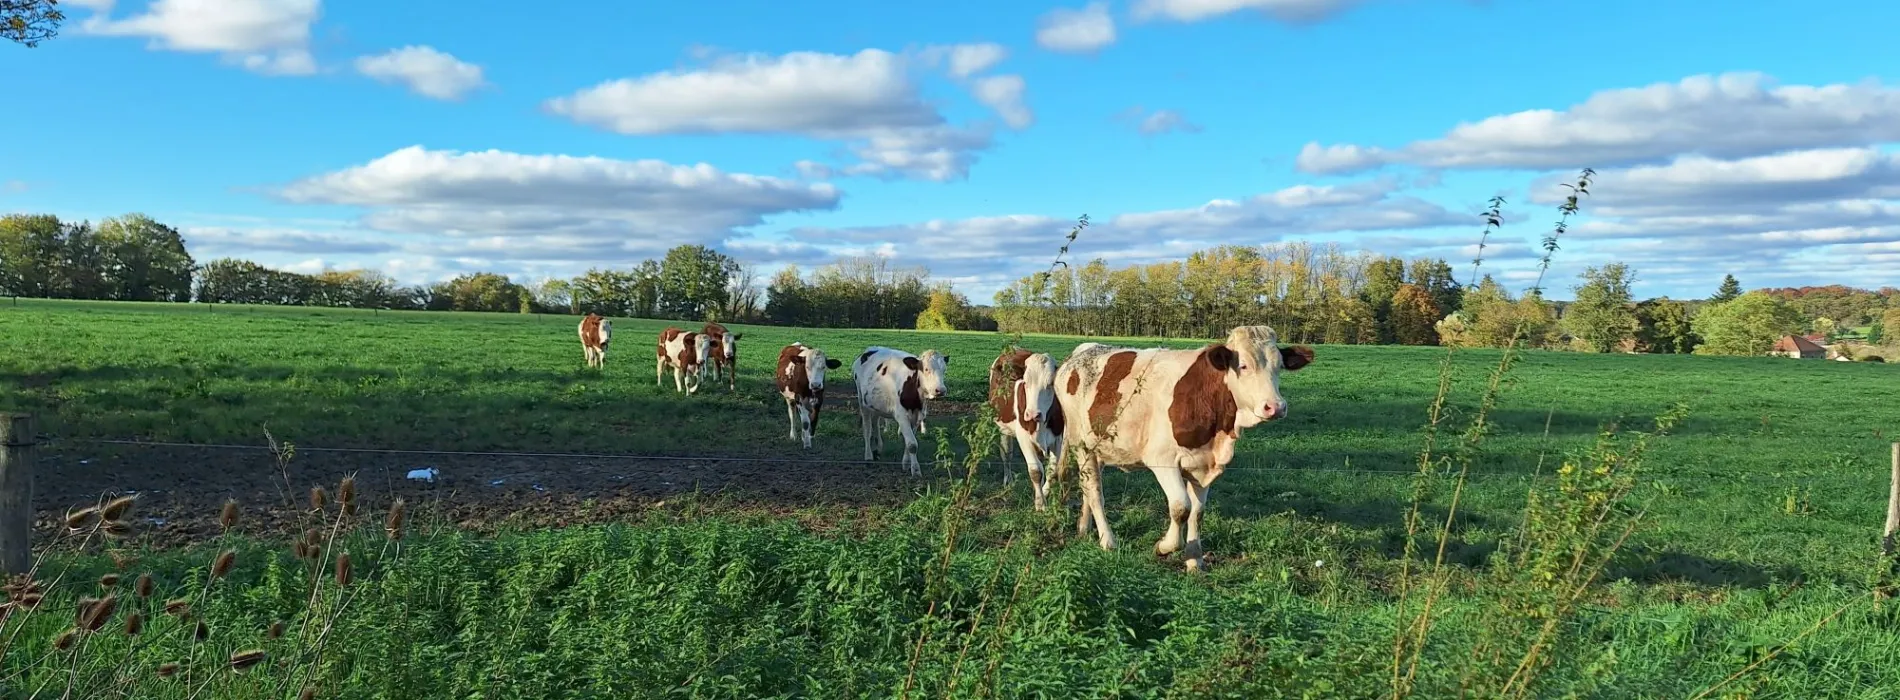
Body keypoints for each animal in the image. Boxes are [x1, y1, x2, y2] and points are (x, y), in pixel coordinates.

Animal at [852, 346, 950, 476]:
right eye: (926, 369)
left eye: (944, 370)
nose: (941, 390)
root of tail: (870, 349)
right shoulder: (901, 416)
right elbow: (912, 444)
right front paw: (916, 470)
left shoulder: (917, 417)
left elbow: (909, 443)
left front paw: (906, 464)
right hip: (863, 402)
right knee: (867, 429)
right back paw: (868, 457)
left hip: (876, 404)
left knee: (875, 422)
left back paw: (878, 448)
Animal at [989, 347, 1064, 511]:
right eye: (1025, 382)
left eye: (1051, 383)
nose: (1032, 414)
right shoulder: (1024, 438)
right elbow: (1035, 471)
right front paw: (1040, 504)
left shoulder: (1059, 438)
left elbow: (1052, 471)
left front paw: (1045, 492)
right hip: (1004, 429)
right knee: (1006, 454)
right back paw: (1008, 480)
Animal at [1052, 326, 1312, 572]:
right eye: (1244, 366)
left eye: (1279, 367)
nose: (1275, 407)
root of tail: (1079, 353)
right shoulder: (1162, 461)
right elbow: (1181, 508)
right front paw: (1164, 547)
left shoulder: (1203, 464)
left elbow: (1198, 512)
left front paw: (1194, 559)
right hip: (1081, 445)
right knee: (1094, 491)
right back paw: (1108, 540)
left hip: (1100, 448)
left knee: (1087, 487)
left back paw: (1084, 528)